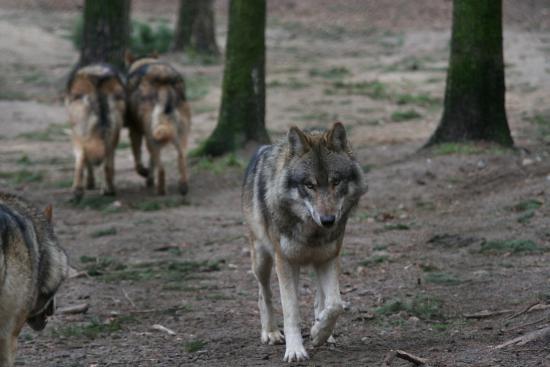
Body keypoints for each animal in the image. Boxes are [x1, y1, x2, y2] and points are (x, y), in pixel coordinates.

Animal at [65, 63, 125, 201]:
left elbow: (86, 162)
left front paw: (89, 184)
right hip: (113, 135)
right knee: (107, 163)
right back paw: (108, 190)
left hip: (78, 136)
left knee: (81, 160)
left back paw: (77, 191)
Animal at [126, 54, 193, 196]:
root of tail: (163, 78)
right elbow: (151, 162)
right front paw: (149, 179)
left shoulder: (134, 131)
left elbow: (138, 163)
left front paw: (145, 174)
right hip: (177, 137)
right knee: (181, 158)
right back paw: (183, 187)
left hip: (152, 138)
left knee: (162, 168)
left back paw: (160, 191)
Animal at [244, 123, 368, 362]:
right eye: (309, 185)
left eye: (335, 181)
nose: (328, 220)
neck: (313, 233)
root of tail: (263, 148)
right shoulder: (285, 263)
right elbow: (291, 311)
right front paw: (295, 350)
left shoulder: (329, 258)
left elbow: (335, 304)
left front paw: (319, 333)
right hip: (262, 260)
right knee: (264, 294)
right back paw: (270, 332)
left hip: (319, 262)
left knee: (321, 299)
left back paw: (323, 332)